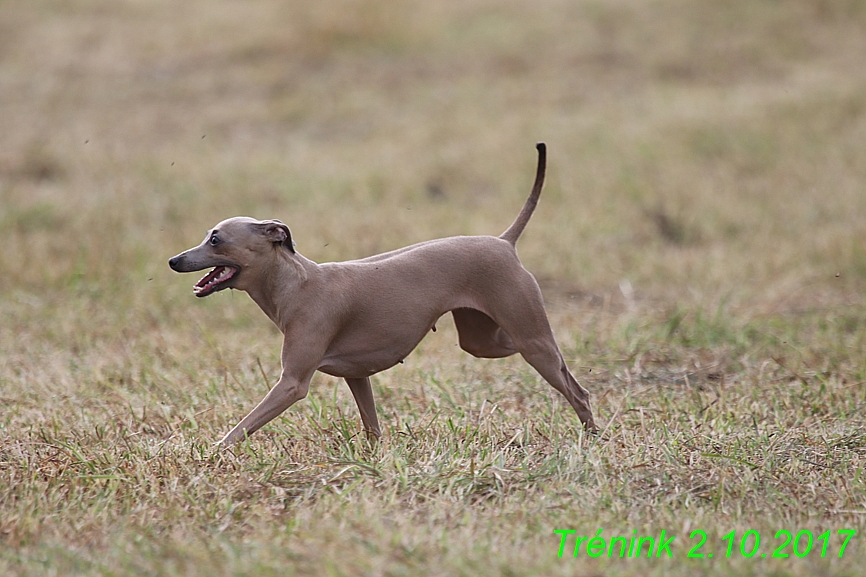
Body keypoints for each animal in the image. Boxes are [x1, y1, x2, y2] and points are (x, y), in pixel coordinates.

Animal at [172, 143, 596, 446]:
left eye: (216, 239)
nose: (174, 260)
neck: (296, 282)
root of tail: (503, 241)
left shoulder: (292, 383)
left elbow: (239, 429)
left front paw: (208, 456)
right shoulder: (357, 376)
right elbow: (372, 426)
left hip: (528, 338)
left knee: (576, 389)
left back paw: (593, 438)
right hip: (485, 341)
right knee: (556, 365)